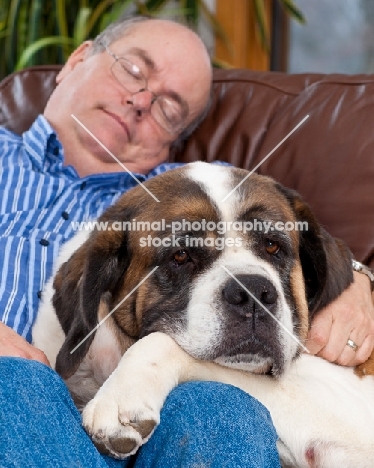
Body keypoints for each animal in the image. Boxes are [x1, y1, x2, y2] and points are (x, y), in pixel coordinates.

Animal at [32, 163, 374, 466]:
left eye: (272, 246)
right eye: (181, 255)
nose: (253, 293)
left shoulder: (350, 414)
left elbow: (161, 344)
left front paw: (122, 397)